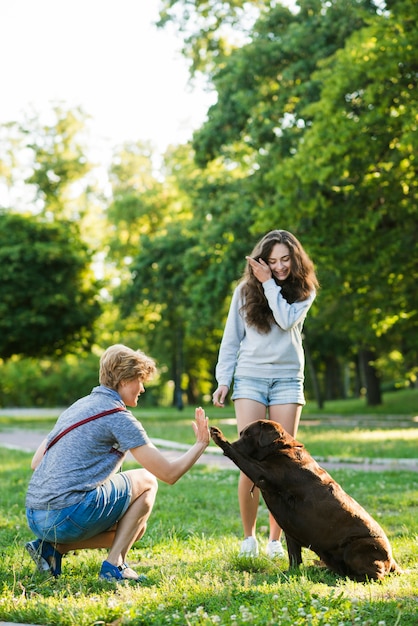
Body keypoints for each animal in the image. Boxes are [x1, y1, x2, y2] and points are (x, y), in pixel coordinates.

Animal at [211, 420, 404, 580]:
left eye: (248, 435)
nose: (236, 441)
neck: (280, 449)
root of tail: (393, 561)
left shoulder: (263, 474)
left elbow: (240, 457)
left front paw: (219, 436)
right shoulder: (290, 531)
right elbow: (294, 556)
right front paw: (291, 573)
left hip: (356, 547)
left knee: (376, 575)